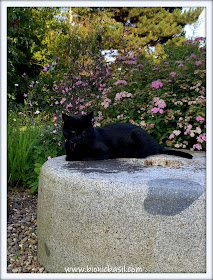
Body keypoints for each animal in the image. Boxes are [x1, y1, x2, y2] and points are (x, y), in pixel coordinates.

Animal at [62, 111, 193, 160]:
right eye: (72, 131)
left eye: (84, 131)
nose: (79, 137)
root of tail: (157, 144)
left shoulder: (104, 152)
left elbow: (82, 156)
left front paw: (75, 156)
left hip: (137, 134)